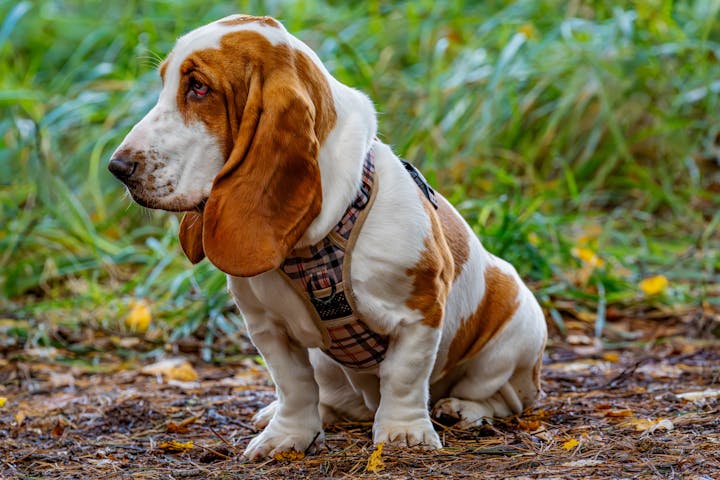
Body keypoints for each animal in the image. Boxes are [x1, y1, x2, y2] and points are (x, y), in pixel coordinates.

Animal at [108, 14, 544, 458]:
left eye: (198, 87)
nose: (117, 168)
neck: (314, 243)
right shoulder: (267, 326)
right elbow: (294, 385)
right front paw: (287, 436)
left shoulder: (419, 311)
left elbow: (403, 377)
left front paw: (403, 433)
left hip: (517, 336)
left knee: (503, 397)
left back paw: (464, 409)